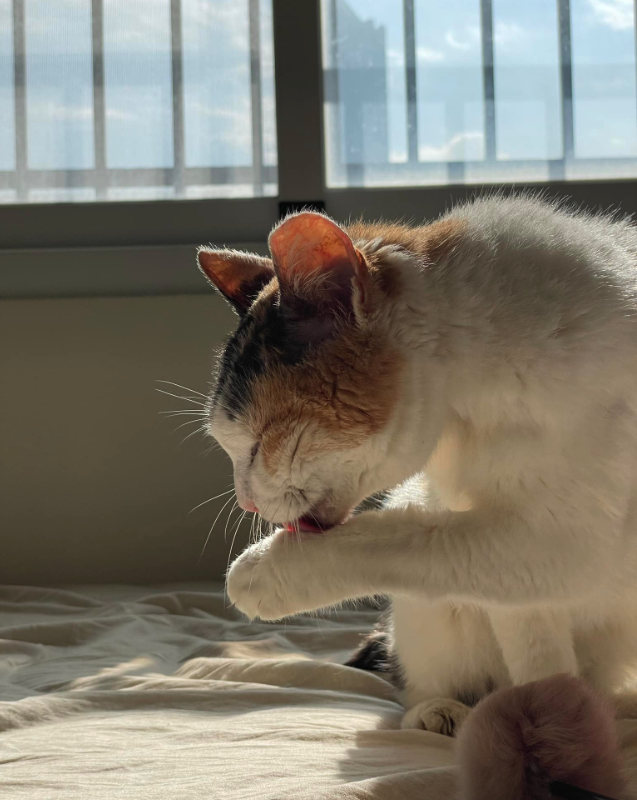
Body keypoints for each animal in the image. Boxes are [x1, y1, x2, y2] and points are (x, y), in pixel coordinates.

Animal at [197, 195, 637, 736]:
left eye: (259, 443)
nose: (246, 501)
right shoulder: (524, 572)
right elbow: (537, 653)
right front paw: (553, 727)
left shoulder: (567, 537)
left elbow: (403, 539)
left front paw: (264, 571)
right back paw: (443, 712)